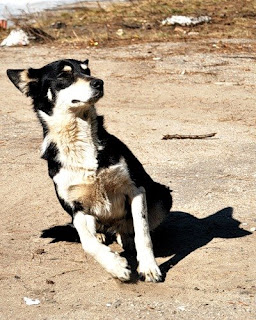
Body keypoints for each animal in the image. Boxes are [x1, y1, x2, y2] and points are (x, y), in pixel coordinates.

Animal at [7, 58, 172, 282]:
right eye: (64, 75)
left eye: (87, 71)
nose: (99, 82)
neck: (79, 138)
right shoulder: (74, 206)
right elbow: (87, 242)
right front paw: (115, 265)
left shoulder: (136, 189)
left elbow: (142, 232)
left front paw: (148, 267)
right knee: (95, 231)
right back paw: (104, 236)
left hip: (162, 195)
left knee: (126, 229)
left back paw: (124, 237)